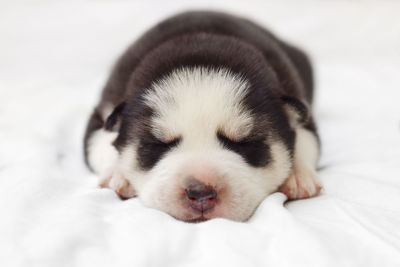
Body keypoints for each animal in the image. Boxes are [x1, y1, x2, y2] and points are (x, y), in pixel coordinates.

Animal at [83, 11, 322, 223]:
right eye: (157, 144)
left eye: (244, 143)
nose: (200, 193)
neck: (201, 42)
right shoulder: (106, 109)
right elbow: (101, 141)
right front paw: (117, 174)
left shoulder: (300, 105)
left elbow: (306, 138)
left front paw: (298, 175)